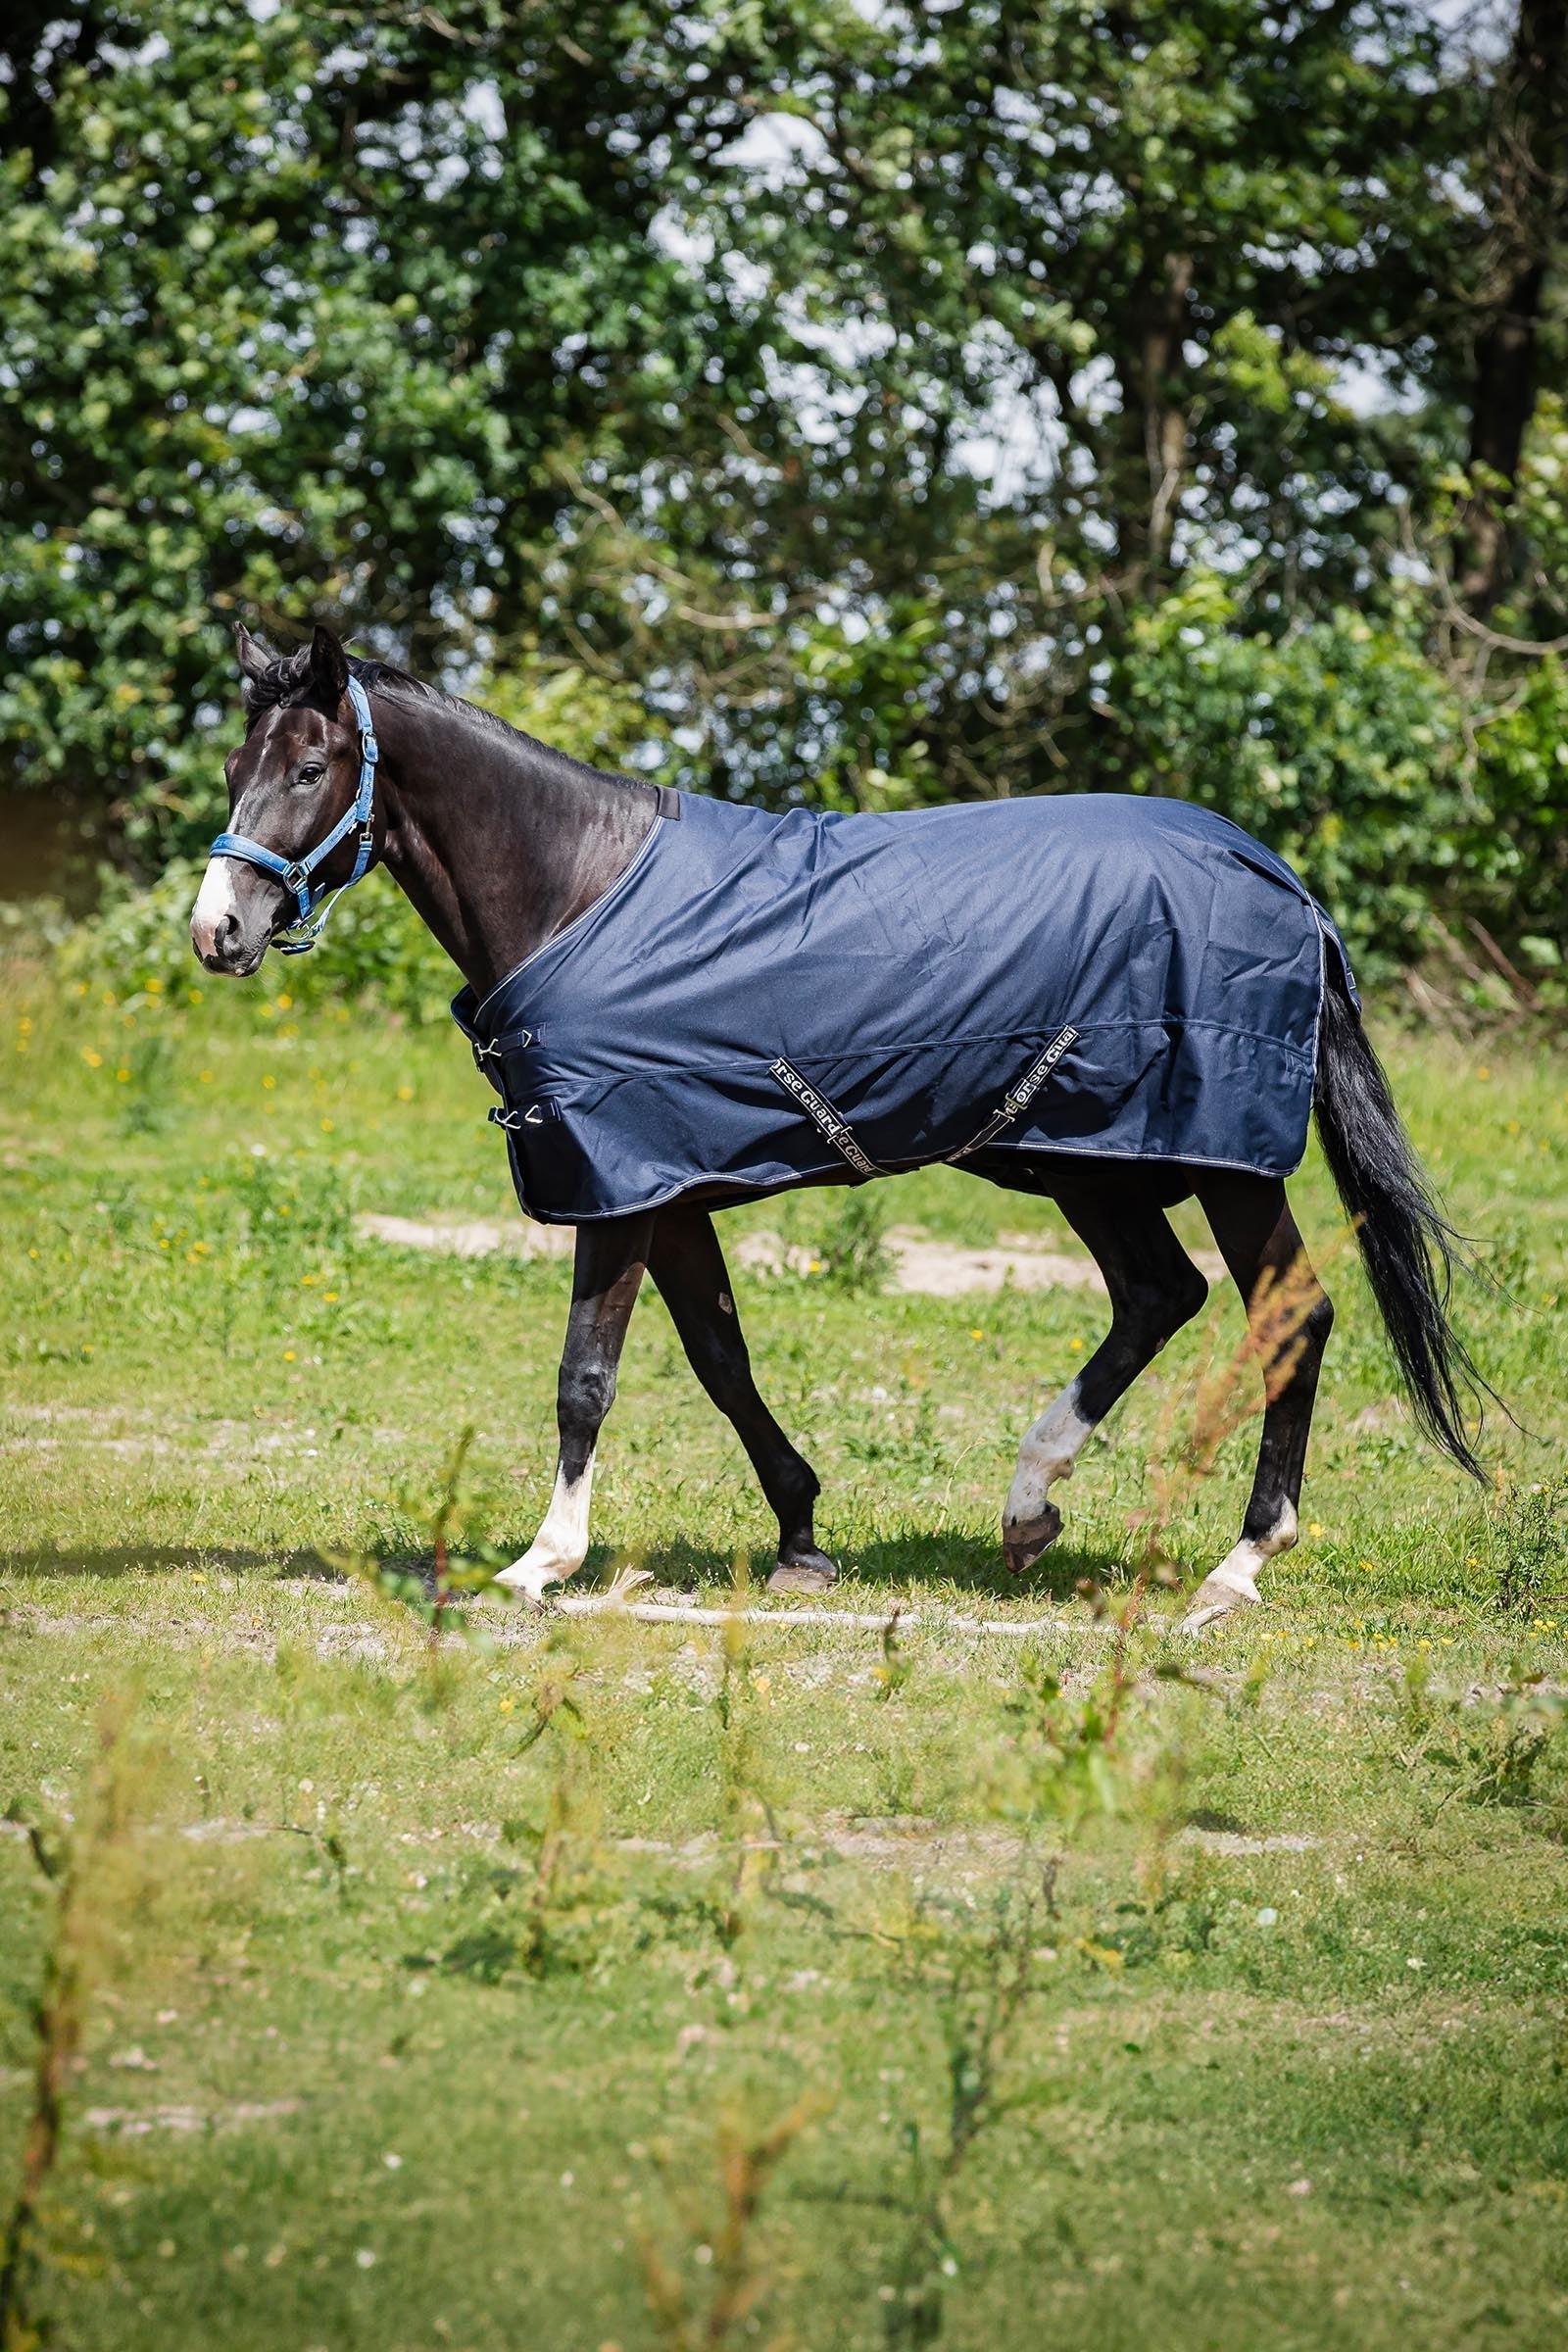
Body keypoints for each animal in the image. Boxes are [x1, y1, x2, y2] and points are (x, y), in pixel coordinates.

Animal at [190, 623, 1487, 1631]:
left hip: (1217, 1162)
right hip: (1092, 1158)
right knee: (1158, 1296)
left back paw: (1236, 1565)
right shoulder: (668, 1191)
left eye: (310, 765)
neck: (578, 891)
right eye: (236, 763)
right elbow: (720, 1362)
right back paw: (1029, 1509)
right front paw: (801, 1535)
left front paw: (537, 1564)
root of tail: (1284, 884)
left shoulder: (618, 1191)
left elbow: (584, 1379)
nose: (218, 931)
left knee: (1292, 1317)